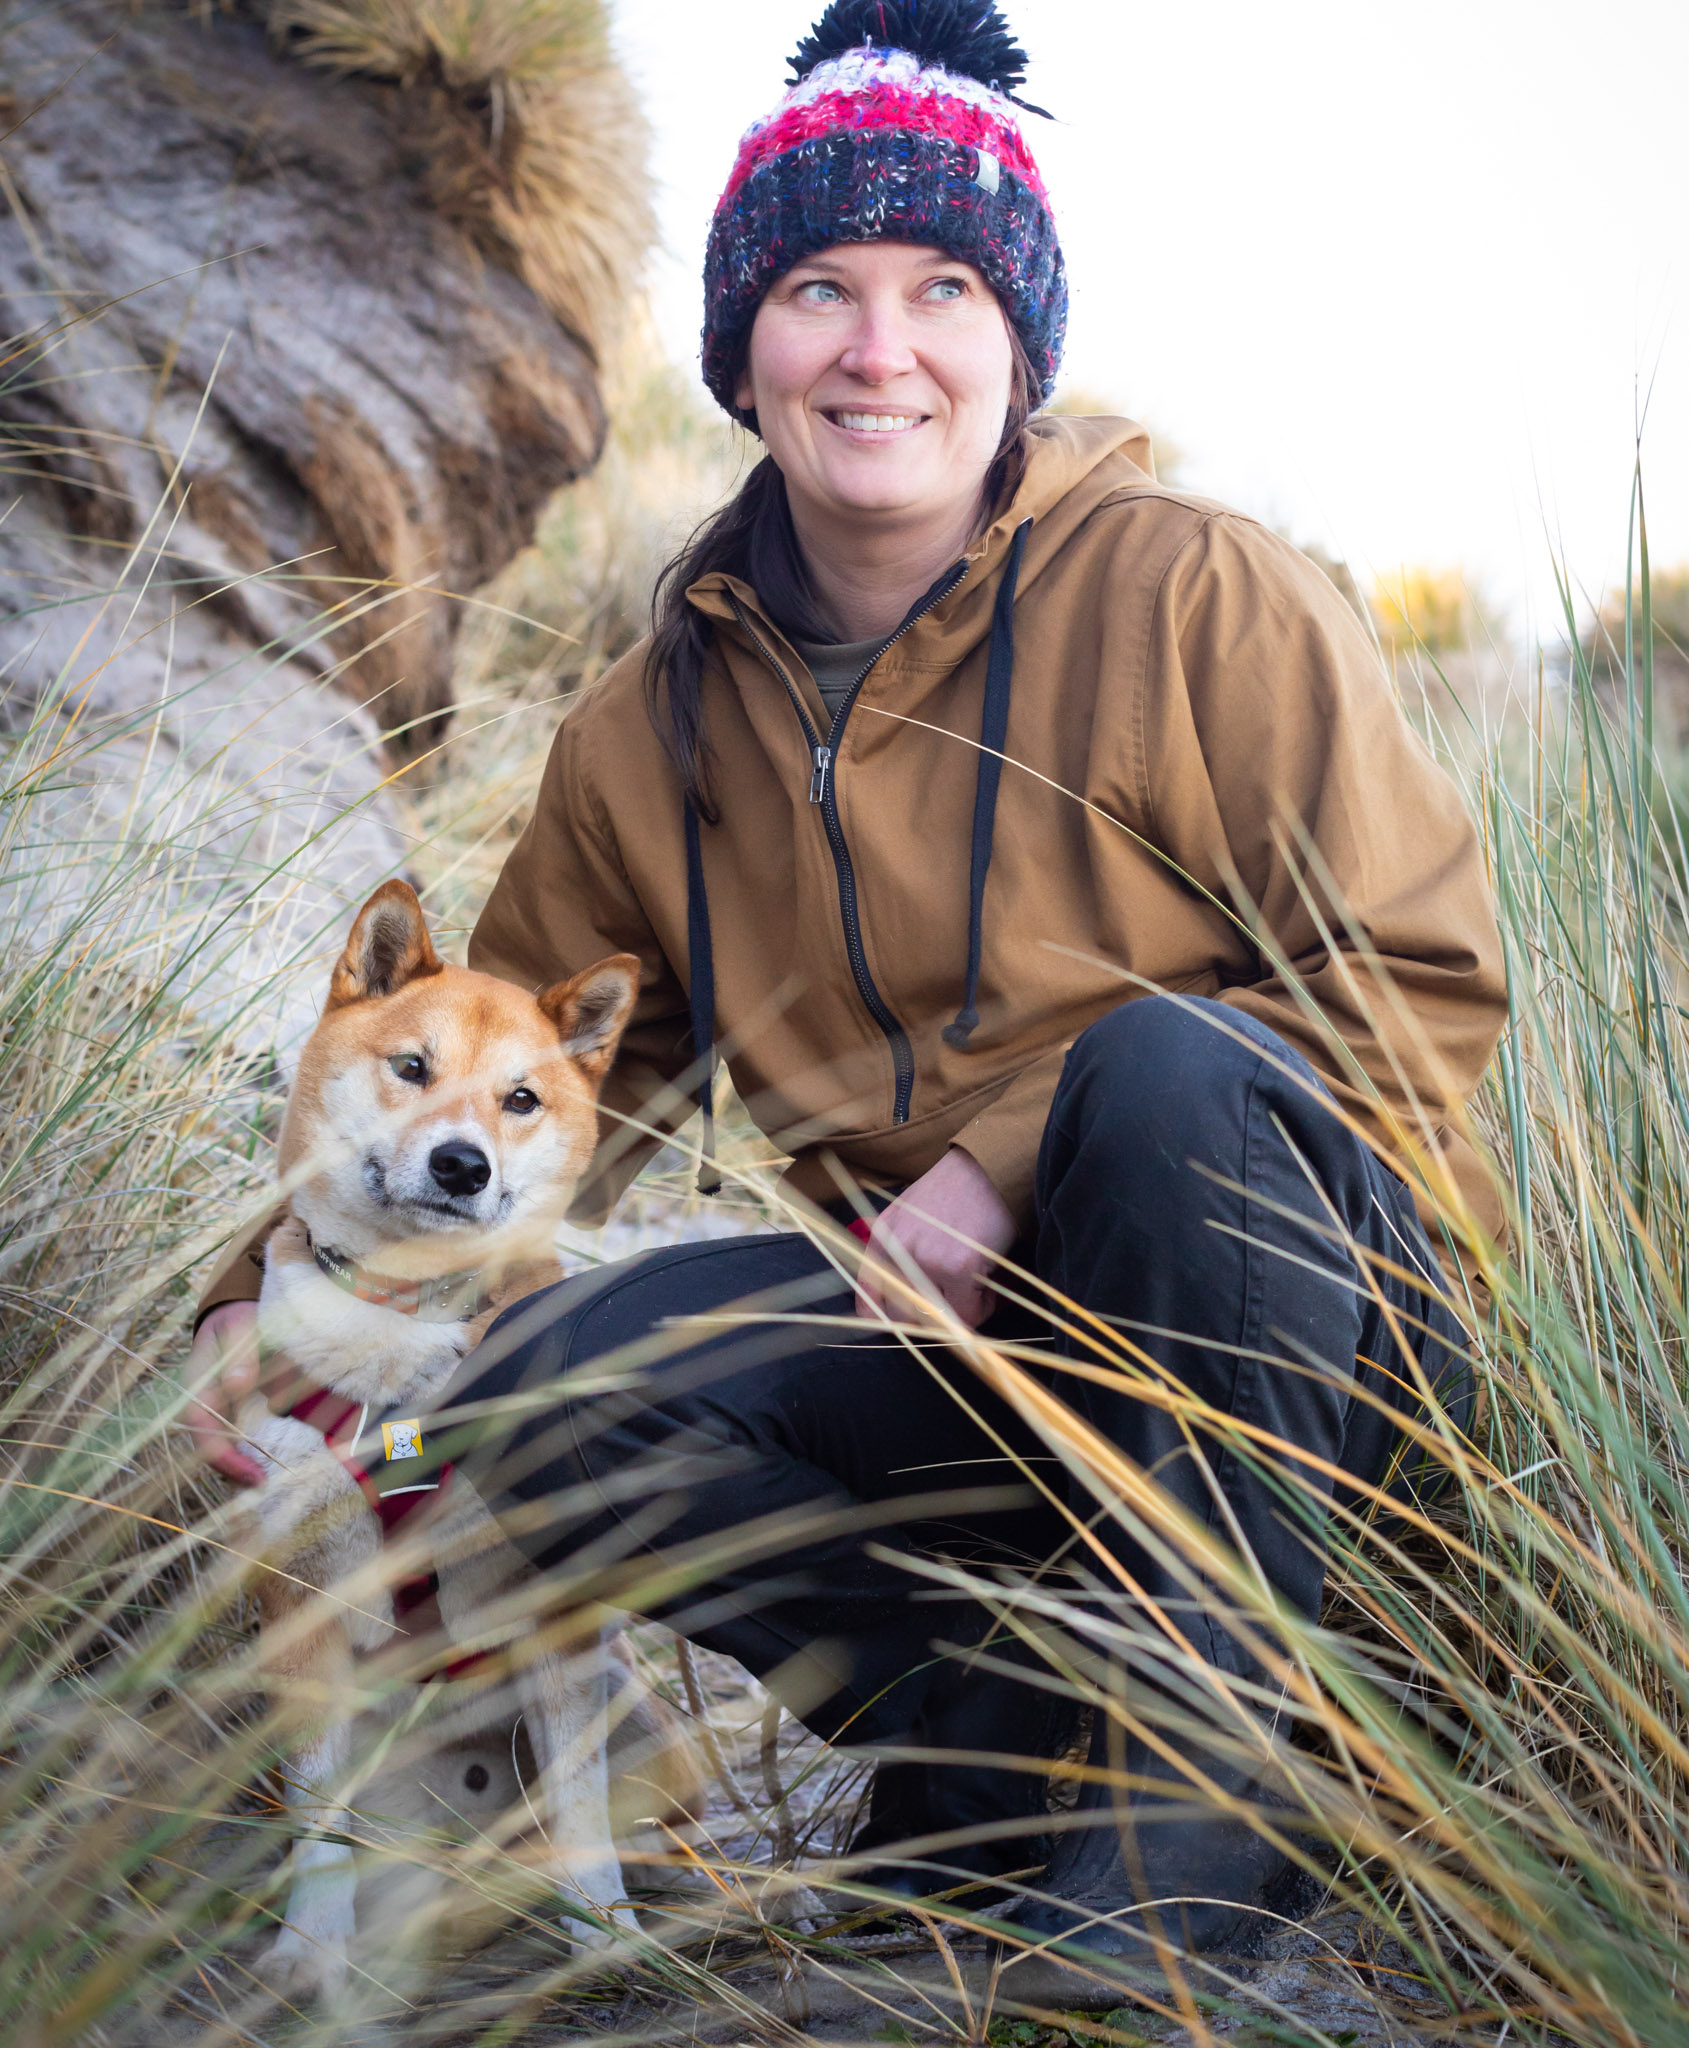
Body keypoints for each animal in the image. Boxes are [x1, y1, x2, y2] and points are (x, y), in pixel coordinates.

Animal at [229, 880, 691, 1998]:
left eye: (520, 1099)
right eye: (413, 1068)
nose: (459, 1163)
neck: (407, 1326)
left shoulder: (559, 1609)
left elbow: (578, 1800)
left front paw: (605, 1931)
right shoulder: (301, 1599)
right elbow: (320, 1816)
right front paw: (312, 1947)